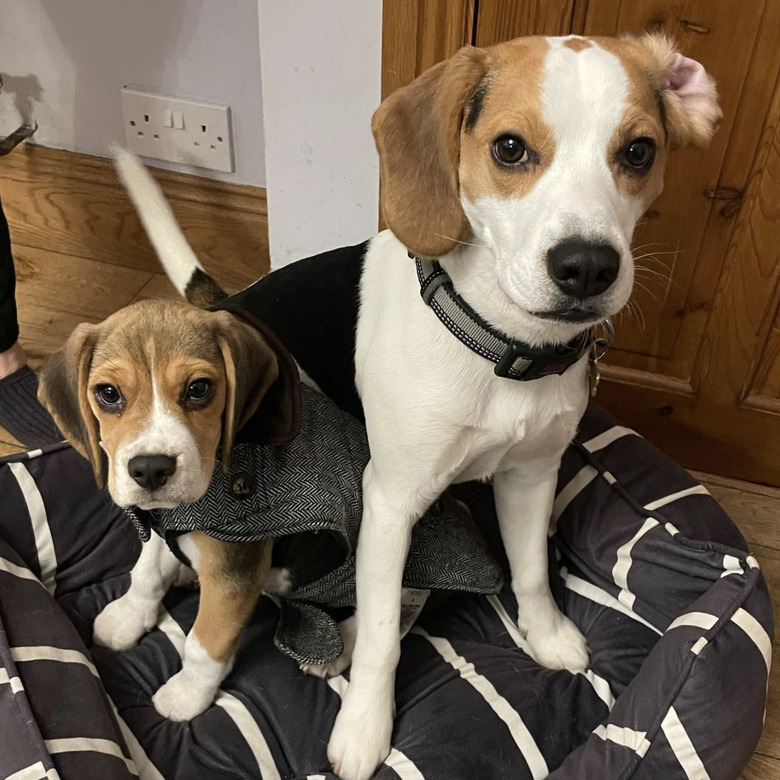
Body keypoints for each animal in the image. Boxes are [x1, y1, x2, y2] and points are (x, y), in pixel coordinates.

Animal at [328, 32, 720, 780]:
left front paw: (546, 634)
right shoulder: (389, 502)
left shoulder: (533, 476)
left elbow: (533, 571)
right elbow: (387, 637)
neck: (504, 348)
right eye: (510, 149)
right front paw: (364, 724)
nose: (587, 266)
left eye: (639, 152)